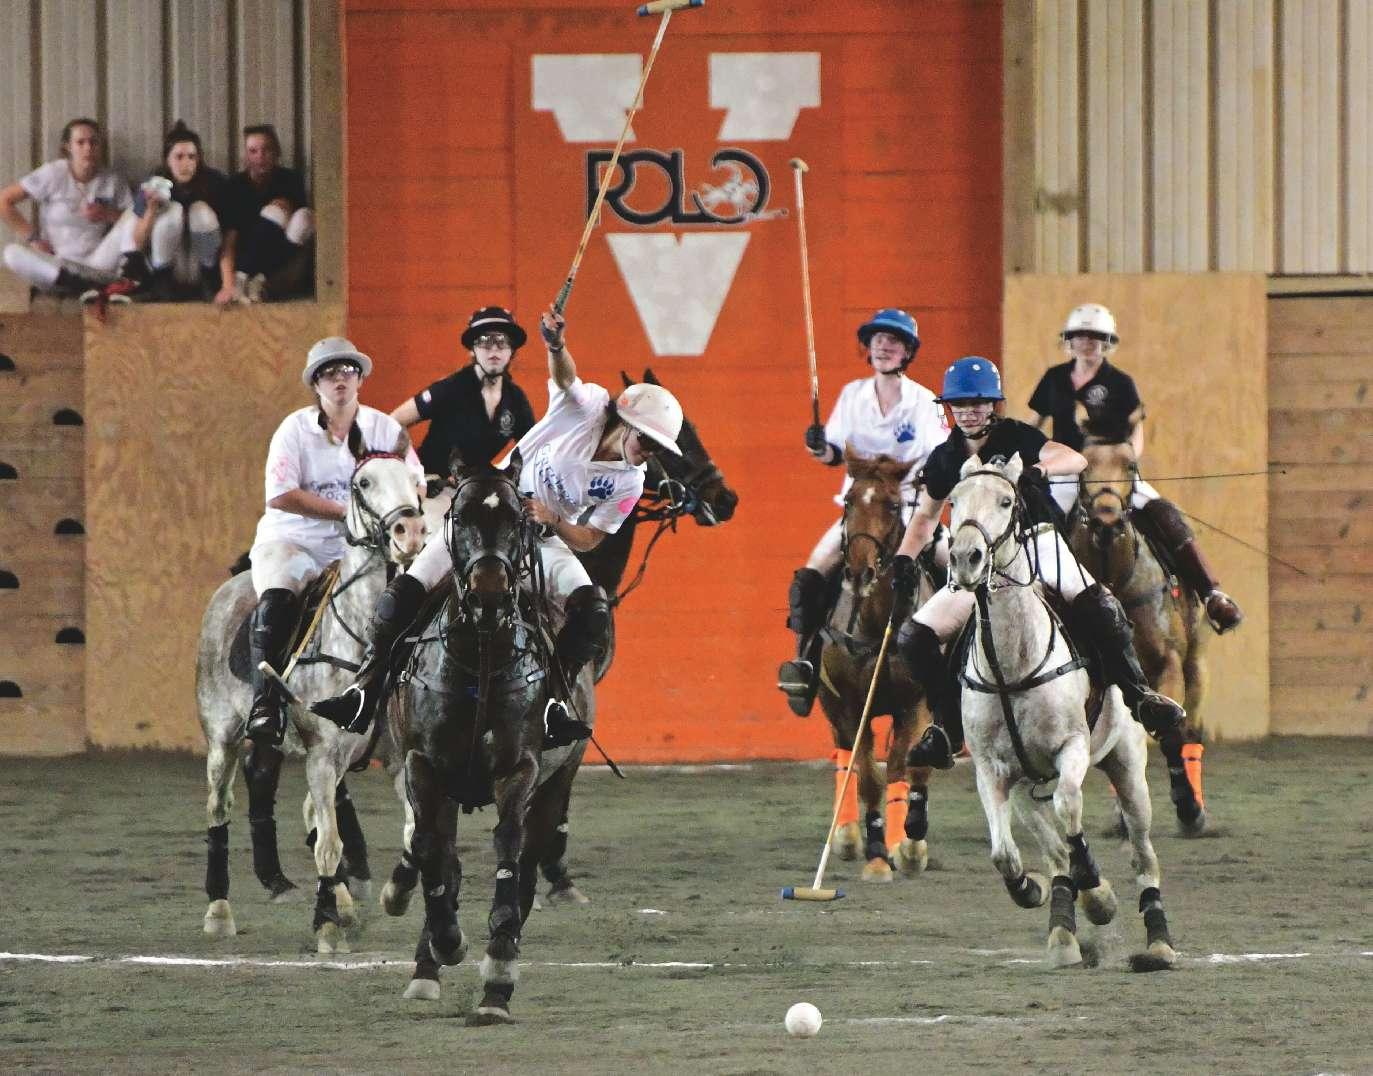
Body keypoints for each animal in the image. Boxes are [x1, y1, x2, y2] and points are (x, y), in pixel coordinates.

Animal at [195, 452, 427, 953]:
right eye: (363, 483)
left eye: (415, 479)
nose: (411, 533)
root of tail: (231, 586)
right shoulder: (322, 754)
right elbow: (328, 844)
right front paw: (326, 925)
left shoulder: (398, 758)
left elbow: (413, 833)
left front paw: (388, 897)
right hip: (222, 736)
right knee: (220, 809)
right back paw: (219, 910)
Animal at [377, 455, 589, 1023]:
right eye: (461, 514)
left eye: (517, 519)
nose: (490, 590)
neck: (480, 658)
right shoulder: (422, 765)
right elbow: (431, 851)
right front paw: (445, 943)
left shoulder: (521, 769)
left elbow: (508, 850)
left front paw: (498, 970)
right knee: (438, 852)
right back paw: (427, 963)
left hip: (559, 780)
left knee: (529, 867)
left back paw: (497, 975)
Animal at [816, 449, 936, 880]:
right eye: (849, 502)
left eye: (894, 505)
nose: (859, 571)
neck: (878, 622)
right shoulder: (851, 705)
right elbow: (868, 775)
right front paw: (877, 854)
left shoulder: (917, 702)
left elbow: (906, 767)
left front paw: (909, 847)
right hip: (830, 702)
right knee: (845, 754)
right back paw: (847, 835)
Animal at [947, 452, 1176, 970]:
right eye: (952, 501)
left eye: (1006, 500)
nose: (966, 558)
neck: (1011, 666)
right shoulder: (992, 770)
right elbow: (1004, 855)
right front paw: (1029, 889)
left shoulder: (1071, 747)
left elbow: (1071, 807)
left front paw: (1098, 890)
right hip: (1026, 787)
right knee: (1052, 851)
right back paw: (1063, 933)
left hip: (1128, 767)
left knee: (1143, 855)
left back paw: (1158, 942)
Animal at [1069, 438, 1208, 835]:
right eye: (1084, 466)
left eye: (1130, 465)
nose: (1106, 519)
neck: (1113, 576)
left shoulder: (1168, 663)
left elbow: (1172, 734)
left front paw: (1189, 809)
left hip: (1195, 661)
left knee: (1191, 727)